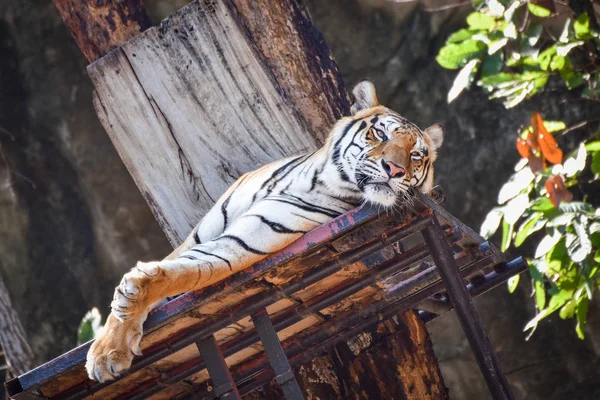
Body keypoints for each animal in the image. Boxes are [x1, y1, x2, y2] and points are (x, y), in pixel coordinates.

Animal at [85, 80, 440, 382]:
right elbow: (172, 268)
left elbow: (186, 272)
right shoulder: (195, 238)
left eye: (416, 155)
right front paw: (107, 351)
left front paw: (133, 295)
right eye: (380, 134)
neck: (315, 177)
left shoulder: (244, 241)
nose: (395, 169)